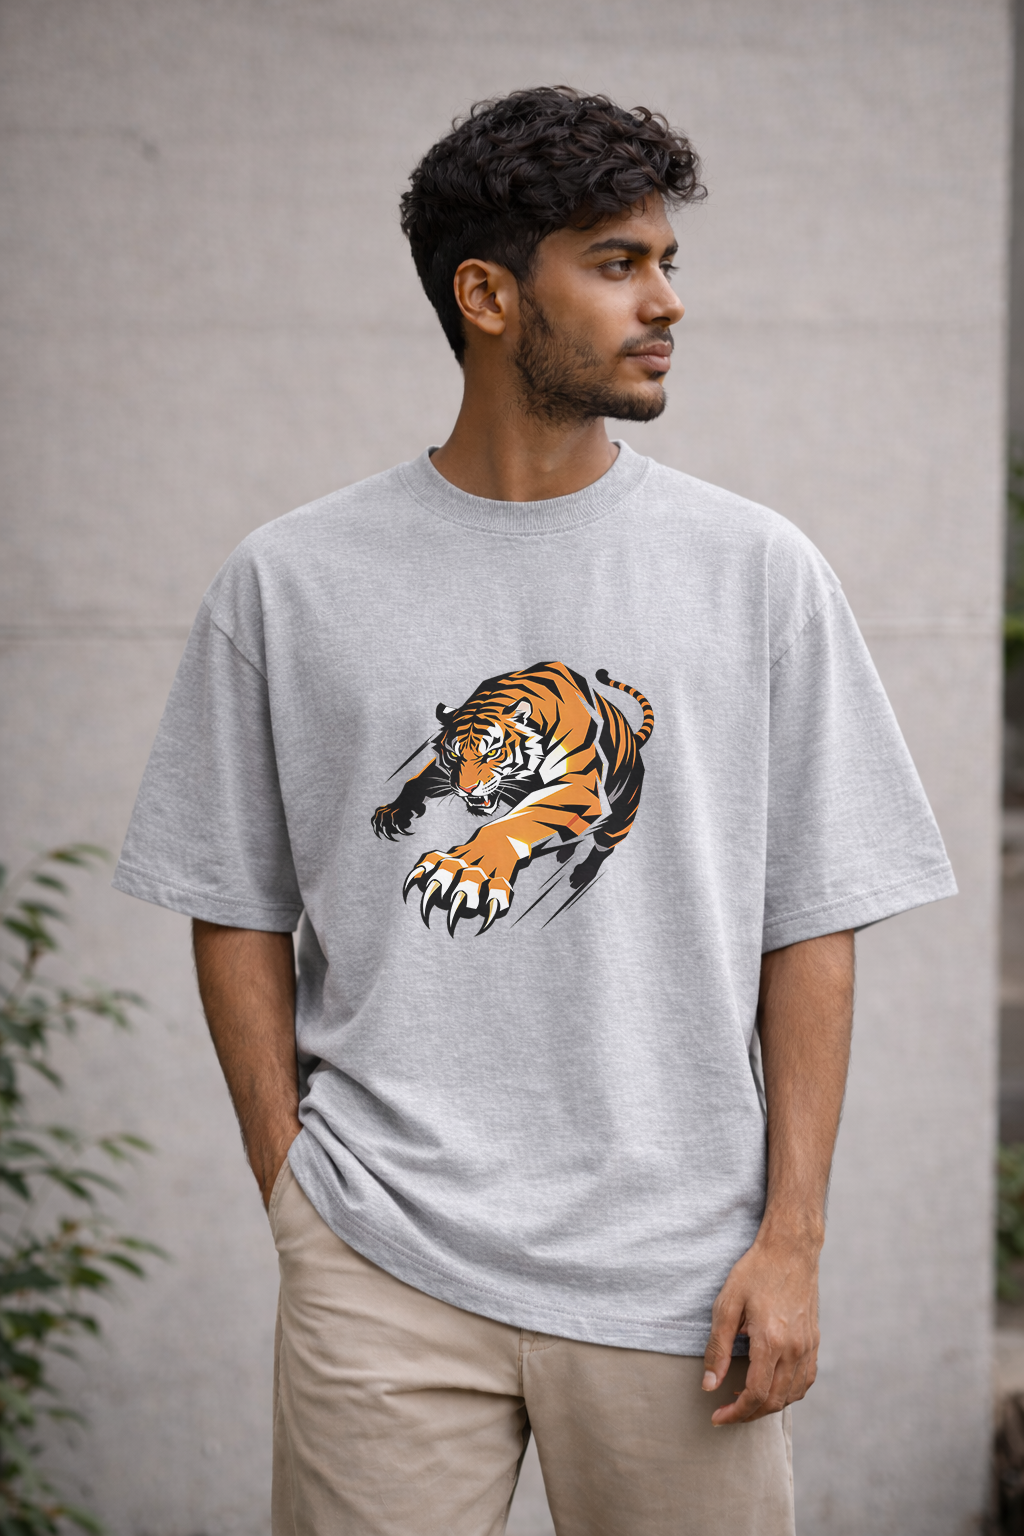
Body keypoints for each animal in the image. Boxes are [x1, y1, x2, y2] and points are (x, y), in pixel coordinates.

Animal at [371, 661, 654, 935]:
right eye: (454, 754)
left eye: (492, 753)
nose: (467, 788)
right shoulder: (447, 773)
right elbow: (418, 780)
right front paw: (395, 811)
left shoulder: (578, 784)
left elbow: (512, 823)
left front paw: (466, 869)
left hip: (621, 817)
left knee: (604, 847)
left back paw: (582, 874)